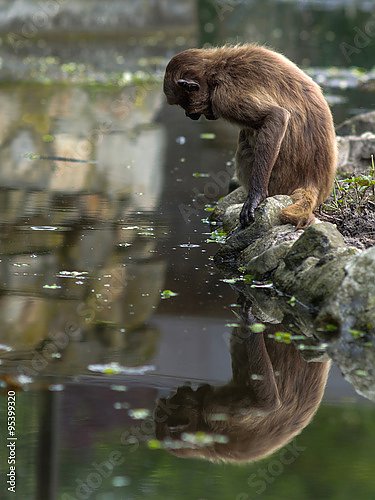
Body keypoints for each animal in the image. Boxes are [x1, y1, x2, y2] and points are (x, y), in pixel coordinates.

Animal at [164, 45, 338, 229]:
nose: (189, 115)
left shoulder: (224, 97)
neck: (216, 71)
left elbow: (276, 117)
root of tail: (313, 181)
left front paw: (256, 196)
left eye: (185, 105)